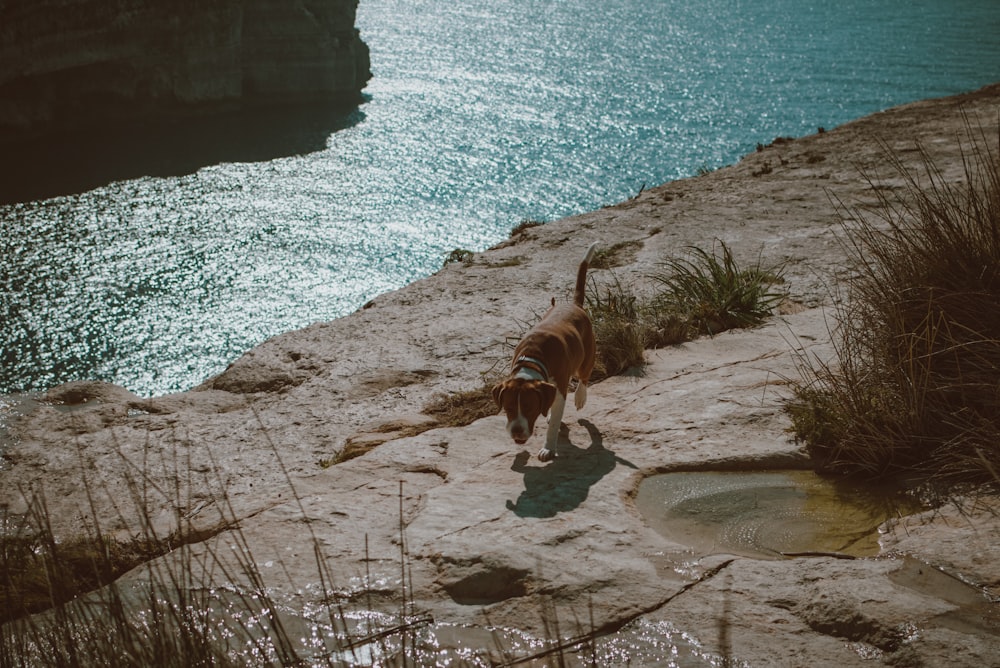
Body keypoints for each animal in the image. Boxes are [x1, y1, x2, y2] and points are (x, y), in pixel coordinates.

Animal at [490, 243, 596, 462]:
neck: (532, 360)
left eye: (529, 408)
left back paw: (580, 396)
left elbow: (555, 422)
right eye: (508, 407)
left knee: (584, 374)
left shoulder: (560, 388)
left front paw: (548, 448)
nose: (517, 432)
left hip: (586, 355)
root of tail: (574, 304)